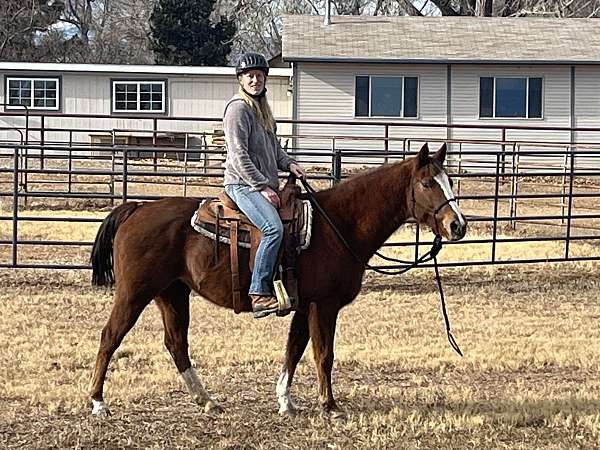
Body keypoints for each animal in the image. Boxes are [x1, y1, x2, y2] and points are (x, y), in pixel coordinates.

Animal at [89, 143, 466, 418]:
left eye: (448, 181)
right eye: (427, 183)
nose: (458, 225)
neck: (338, 225)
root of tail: (136, 208)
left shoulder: (305, 305)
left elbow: (294, 350)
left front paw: (286, 401)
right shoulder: (324, 305)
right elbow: (323, 354)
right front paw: (330, 406)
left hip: (172, 293)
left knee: (176, 343)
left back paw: (208, 401)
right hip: (134, 294)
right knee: (110, 337)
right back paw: (97, 402)